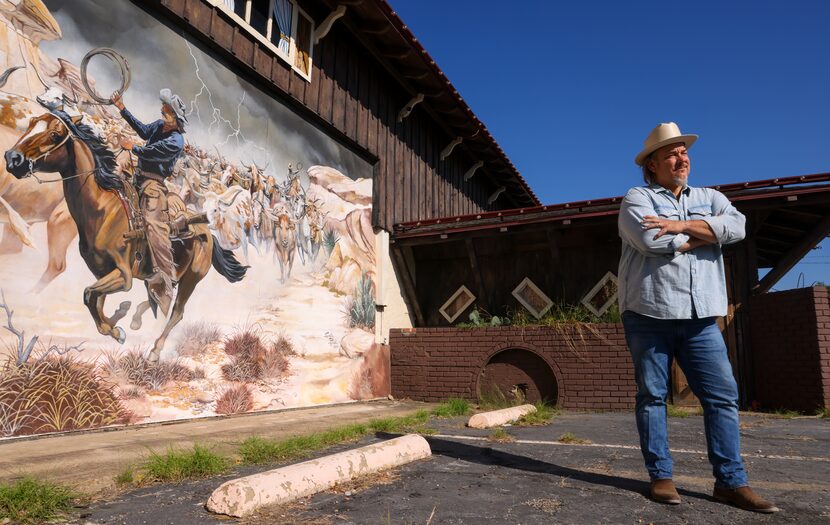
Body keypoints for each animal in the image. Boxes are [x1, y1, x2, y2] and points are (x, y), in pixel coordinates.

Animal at [4, 109, 247, 360]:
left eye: (54, 134)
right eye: (32, 123)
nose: (12, 158)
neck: (103, 208)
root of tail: (206, 233)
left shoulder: (124, 275)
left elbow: (88, 294)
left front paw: (115, 330)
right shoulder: (101, 271)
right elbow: (96, 301)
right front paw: (116, 323)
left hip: (191, 280)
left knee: (176, 312)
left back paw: (155, 350)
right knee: (156, 295)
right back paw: (135, 317)